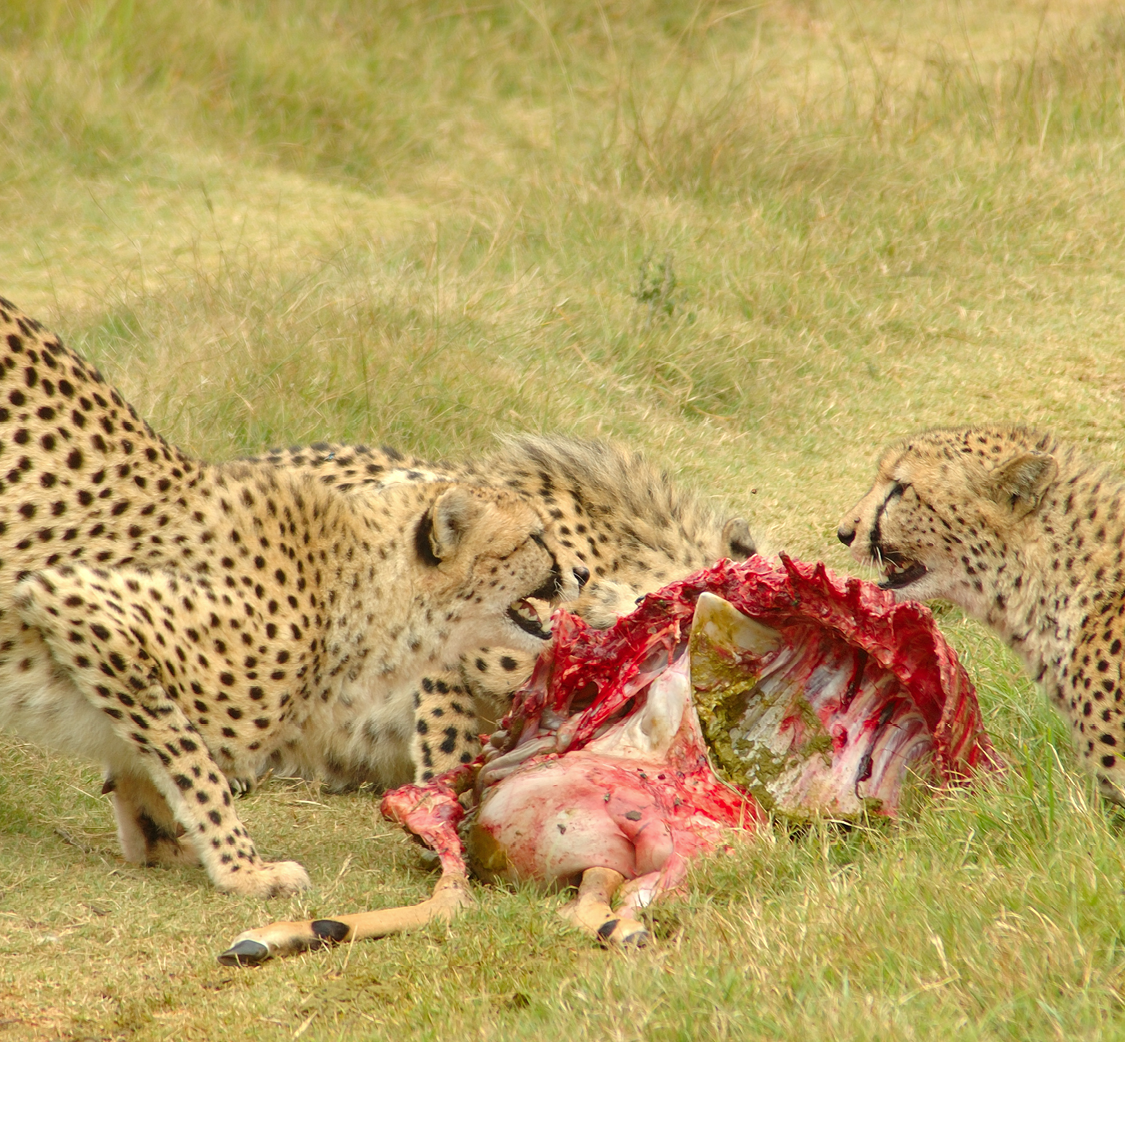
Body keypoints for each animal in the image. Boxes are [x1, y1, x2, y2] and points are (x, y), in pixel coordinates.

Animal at [0, 299, 567, 895]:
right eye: (535, 536)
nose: (572, 572)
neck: (357, 591)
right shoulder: (72, 600)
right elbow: (195, 762)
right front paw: (243, 868)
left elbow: (150, 773)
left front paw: (166, 844)